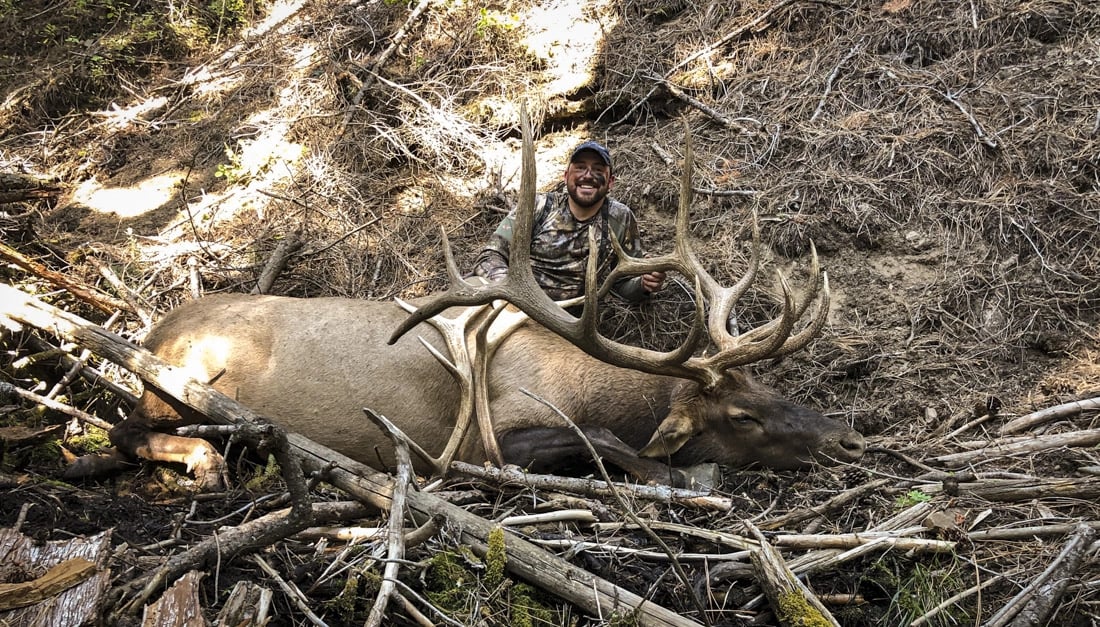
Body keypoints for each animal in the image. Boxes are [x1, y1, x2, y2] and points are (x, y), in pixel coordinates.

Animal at [70, 112, 864, 490]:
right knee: (120, 428)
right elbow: (601, 440)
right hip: (172, 385)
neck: (584, 379)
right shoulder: (487, 438)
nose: (845, 436)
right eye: (742, 416)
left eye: (768, 385)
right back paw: (201, 460)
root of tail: (153, 326)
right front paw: (677, 472)